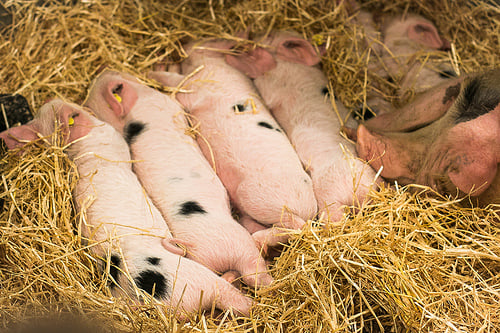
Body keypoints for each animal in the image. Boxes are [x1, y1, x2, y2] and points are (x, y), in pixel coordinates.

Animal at [147, 39, 316, 249]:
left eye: (209, 41)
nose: (187, 43)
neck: (215, 62)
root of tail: (310, 210)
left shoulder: (196, 86)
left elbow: (175, 82)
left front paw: (154, 71)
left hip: (259, 198)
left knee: (295, 225)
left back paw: (258, 240)